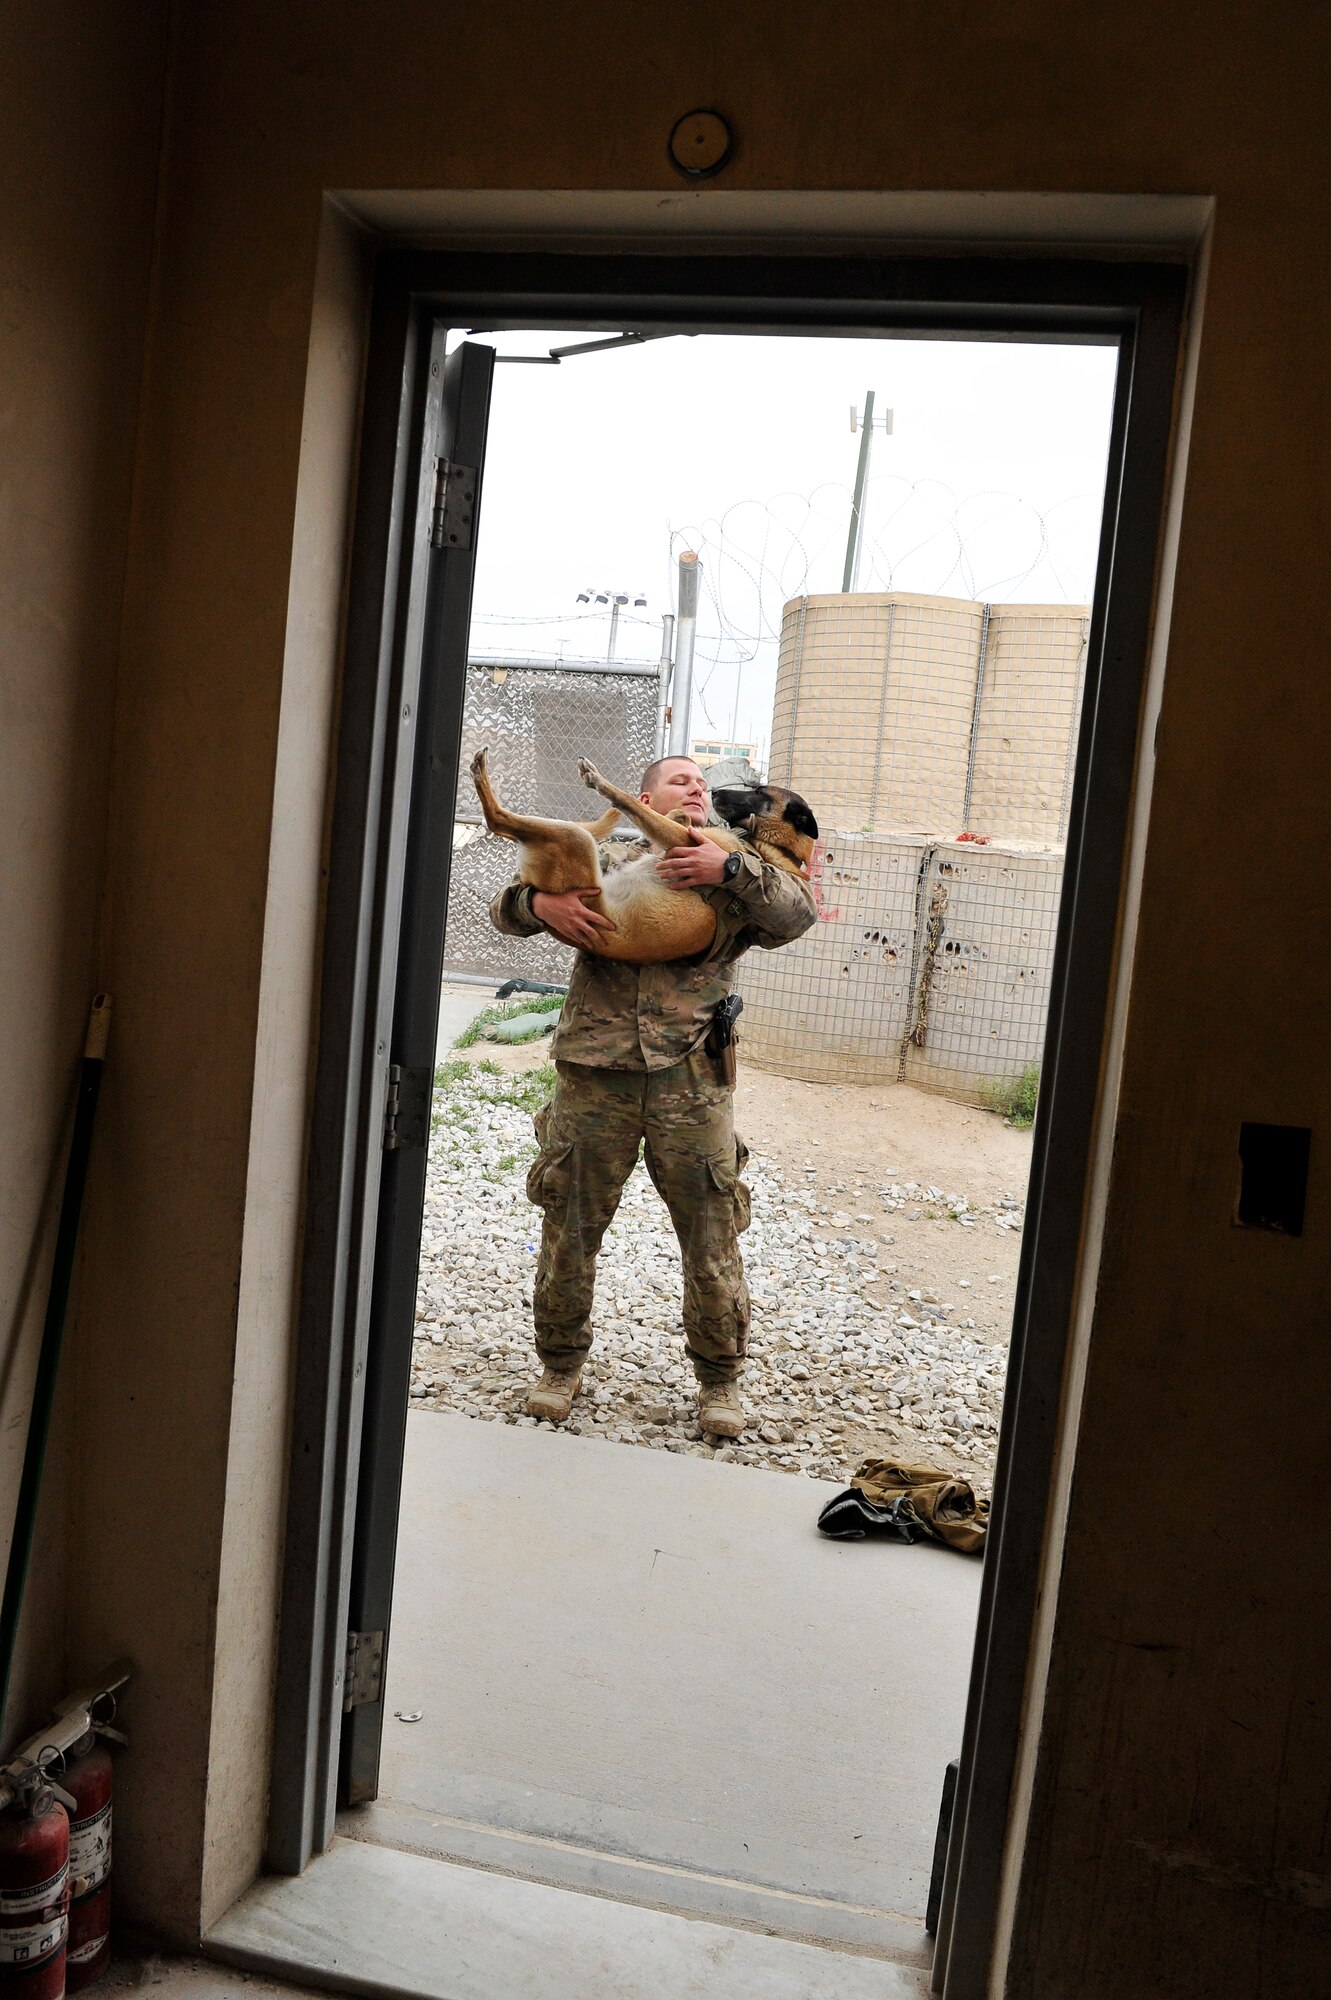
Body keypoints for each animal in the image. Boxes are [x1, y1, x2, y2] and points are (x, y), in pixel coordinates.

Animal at [465, 752, 819, 968]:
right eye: (687, 783)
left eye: (759, 793)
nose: (711, 793)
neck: (768, 848)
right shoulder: (682, 835)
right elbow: (668, 817)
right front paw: (676, 813)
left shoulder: (685, 843)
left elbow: (632, 802)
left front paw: (602, 783)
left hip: (571, 839)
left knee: (497, 820)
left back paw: (480, 772)